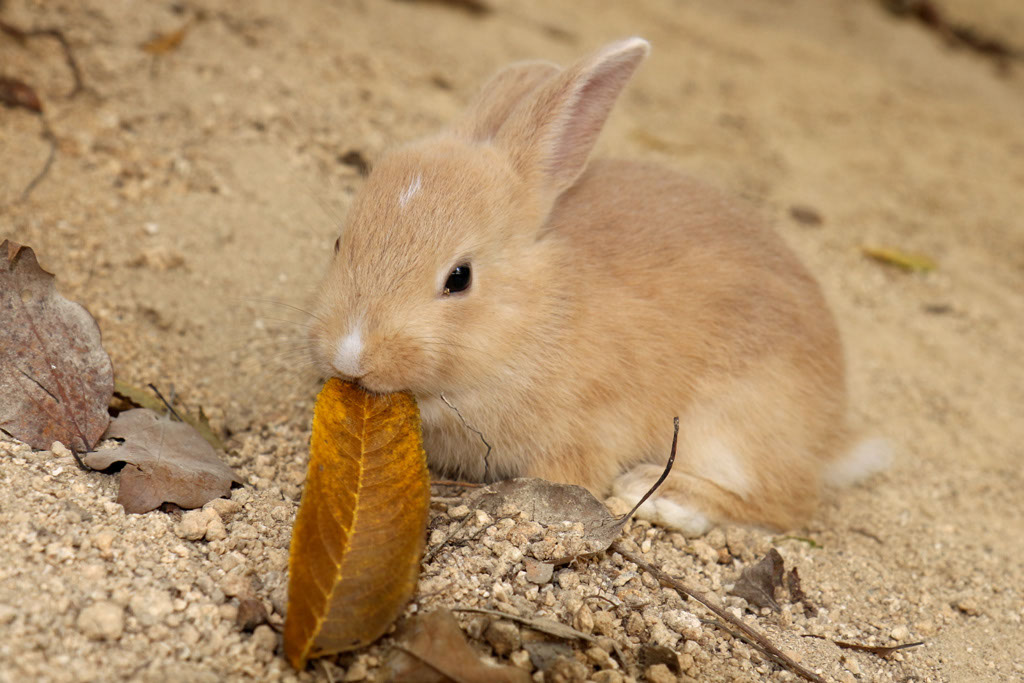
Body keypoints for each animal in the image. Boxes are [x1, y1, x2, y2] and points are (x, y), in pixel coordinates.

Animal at [309, 37, 887, 536]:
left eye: (459, 278)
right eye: (339, 242)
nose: (352, 356)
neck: (535, 313)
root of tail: (830, 436)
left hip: (730, 425)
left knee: (788, 503)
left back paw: (662, 497)